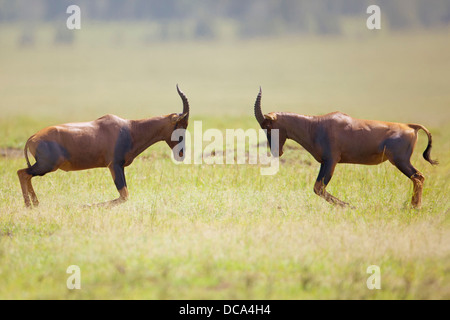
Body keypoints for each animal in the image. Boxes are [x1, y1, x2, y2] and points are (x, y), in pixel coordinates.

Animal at [17, 85, 190, 208]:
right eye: (180, 125)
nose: (181, 154)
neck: (129, 128)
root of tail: (32, 138)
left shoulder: (119, 166)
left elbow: (124, 195)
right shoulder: (114, 165)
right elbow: (124, 195)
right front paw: (85, 205)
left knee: (26, 175)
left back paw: (35, 204)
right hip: (47, 166)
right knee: (22, 173)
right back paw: (29, 205)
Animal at [255, 87, 438, 208]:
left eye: (268, 126)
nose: (276, 151)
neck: (315, 125)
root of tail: (411, 126)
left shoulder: (331, 160)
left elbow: (319, 188)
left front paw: (348, 205)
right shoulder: (326, 162)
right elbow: (318, 188)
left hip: (401, 161)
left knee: (418, 177)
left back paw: (414, 207)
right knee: (418, 178)